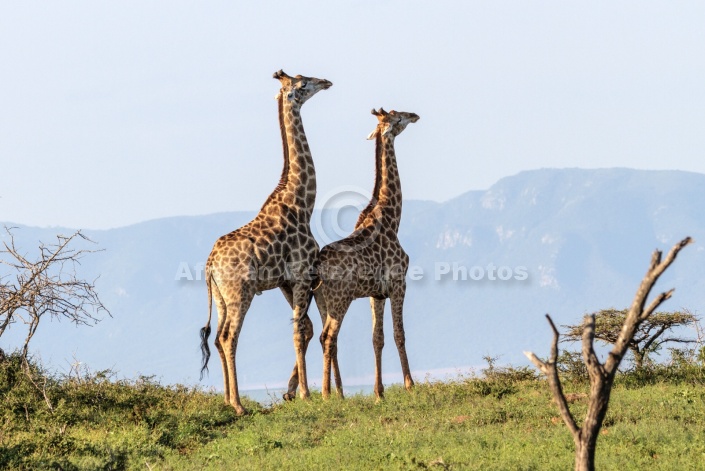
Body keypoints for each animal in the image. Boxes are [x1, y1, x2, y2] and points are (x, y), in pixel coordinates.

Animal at [198, 71, 330, 416]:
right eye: (303, 84)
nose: (326, 82)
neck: (302, 203)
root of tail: (210, 264)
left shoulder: (286, 282)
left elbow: (306, 327)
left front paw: (290, 392)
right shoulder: (301, 275)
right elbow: (298, 330)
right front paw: (305, 394)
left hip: (220, 296)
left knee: (217, 338)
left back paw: (228, 399)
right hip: (240, 292)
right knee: (228, 337)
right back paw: (239, 405)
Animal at [314, 108, 418, 402]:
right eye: (399, 118)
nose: (415, 115)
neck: (392, 218)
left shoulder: (376, 293)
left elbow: (377, 338)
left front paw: (379, 392)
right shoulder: (398, 283)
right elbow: (399, 333)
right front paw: (410, 385)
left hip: (321, 301)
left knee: (324, 337)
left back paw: (335, 393)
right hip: (340, 299)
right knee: (329, 336)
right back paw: (325, 394)